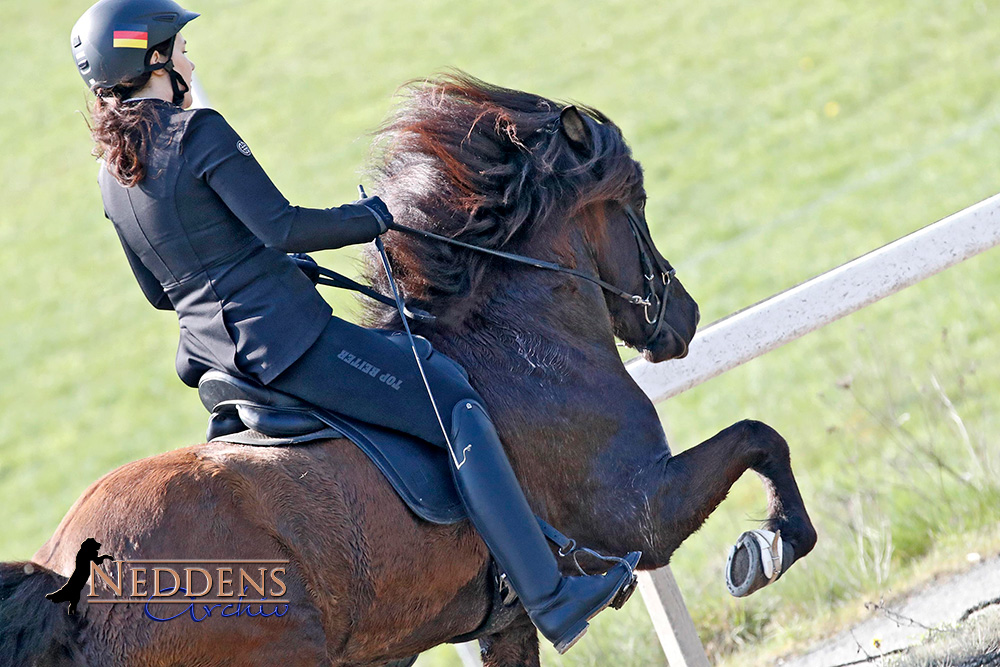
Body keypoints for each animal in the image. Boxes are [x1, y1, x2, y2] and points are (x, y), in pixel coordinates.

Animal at [0, 74, 812, 667]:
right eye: (635, 198)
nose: (684, 319)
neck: (519, 343)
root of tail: (61, 575)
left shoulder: (502, 619)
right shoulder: (643, 511)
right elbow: (760, 435)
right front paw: (768, 547)